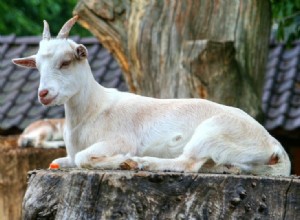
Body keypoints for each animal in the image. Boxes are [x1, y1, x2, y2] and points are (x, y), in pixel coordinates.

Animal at [12, 16, 290, 176]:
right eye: (37, 66)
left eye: (66, 62)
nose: (44, 94)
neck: (94, 109)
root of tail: (274, 145)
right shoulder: (68, 155)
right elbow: (57, 162)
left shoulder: (120, 139)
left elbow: (83, 158)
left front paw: (122, 160)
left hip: (213, 131)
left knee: (187, 163)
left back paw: (140, 163)